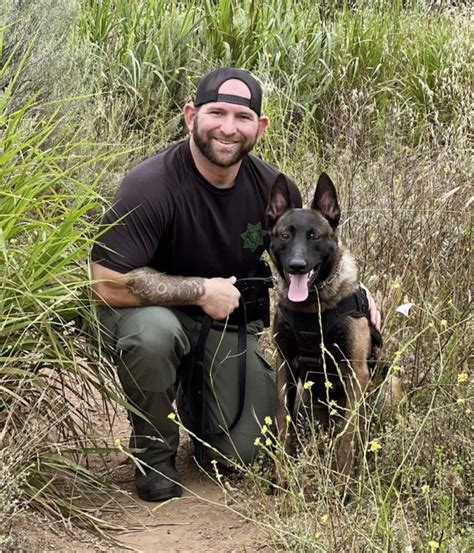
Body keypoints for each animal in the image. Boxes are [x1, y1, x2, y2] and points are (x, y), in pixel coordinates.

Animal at [266, 171, 374, 474]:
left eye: (314, 236)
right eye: (285, 235)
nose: (297, 265)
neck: (312, 306)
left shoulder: (356, 373)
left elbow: (347, 438)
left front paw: (343, 480)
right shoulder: (284, 366)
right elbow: (283, 423)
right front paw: (282, 476)